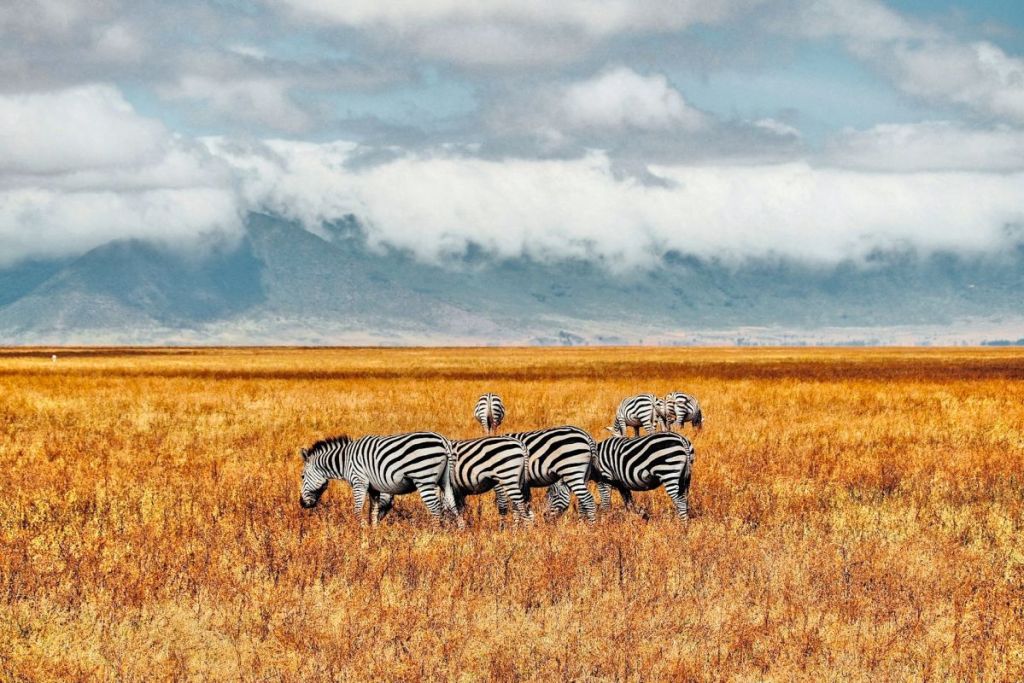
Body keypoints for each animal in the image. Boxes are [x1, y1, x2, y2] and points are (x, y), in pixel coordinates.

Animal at [298, 432, 463, 527]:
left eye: (302, 476)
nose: (301, 504)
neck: (345, 461)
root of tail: (443, 441)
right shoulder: (374, 488)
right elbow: (373, 512)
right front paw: (374, 534)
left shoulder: (359, 482)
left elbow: (357, 511)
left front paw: (363, 535)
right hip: (445, 480)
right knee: (452, 503)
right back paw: (458, 536)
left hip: (424, 479)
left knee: (436, 509)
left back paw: (433, 536)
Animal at [547, 432, 695, 519]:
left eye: (553, 496)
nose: (545, 517)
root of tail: (682, 440)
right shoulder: (621, 484)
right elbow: (629, 503)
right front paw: (634, 521)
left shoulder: (605, 480)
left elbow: (606, 503)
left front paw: (606, 521)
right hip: (685, 478)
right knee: (685, 500)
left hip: (668, 472)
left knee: (680, 501)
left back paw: (681, 526)